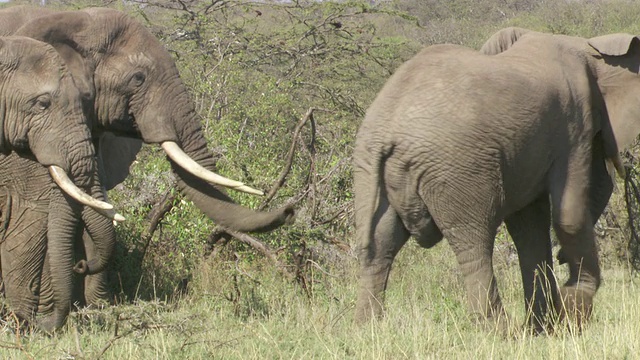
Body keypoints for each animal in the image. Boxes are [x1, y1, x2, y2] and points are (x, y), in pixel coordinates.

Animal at [352, 26, 636, 334]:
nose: (562, 257)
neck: (589, 48)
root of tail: (386, 131)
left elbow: (529, 228)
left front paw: (541, 327)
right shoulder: (574, 122)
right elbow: (568, 216)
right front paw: (573, 312)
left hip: (368, 173)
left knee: (381, 245)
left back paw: (368, 328)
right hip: (457, 169)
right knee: (474, 243)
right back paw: (499, 331)